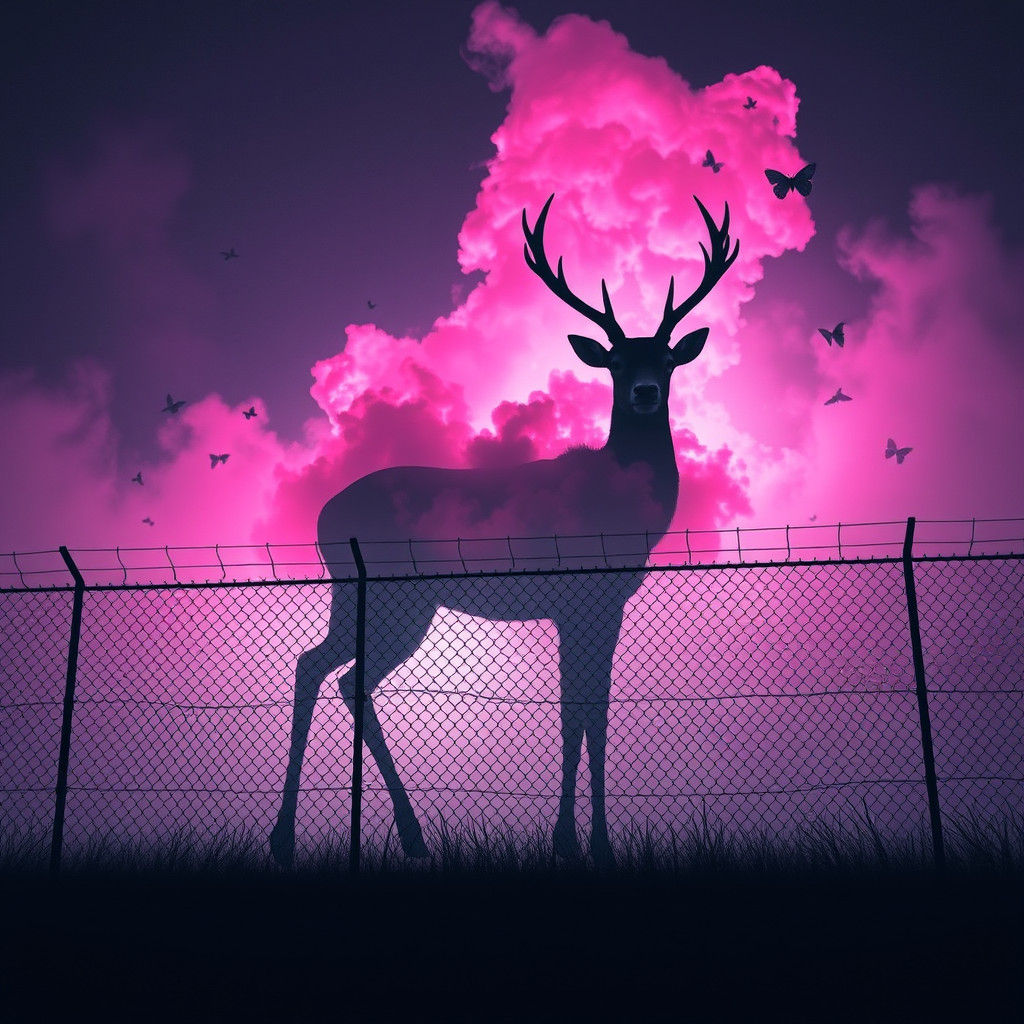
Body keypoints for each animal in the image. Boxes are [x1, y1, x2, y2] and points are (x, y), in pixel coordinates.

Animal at [270, 194, 739, 868]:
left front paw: (587, 841)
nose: (647, 392)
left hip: (371, 598)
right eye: (617, 362)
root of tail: (325, 516)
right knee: (333, 673)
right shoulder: (581, 598)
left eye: (670, 359)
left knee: (327, 671)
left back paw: (370, 836)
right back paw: (327, 836)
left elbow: (592, 708)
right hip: (393, 597)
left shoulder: (604, 603)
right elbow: (579, 711)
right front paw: (580, 842)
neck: (620, 512)